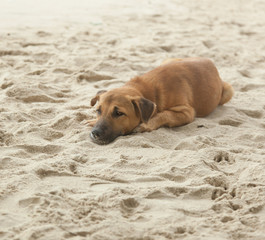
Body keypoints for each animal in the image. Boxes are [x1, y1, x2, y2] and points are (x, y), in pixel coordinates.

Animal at [87, 57, 233, 144]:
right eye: (98, 111)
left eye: (119, 113)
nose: (95, 133)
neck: (147, 91)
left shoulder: (187, 112)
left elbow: (164, 114)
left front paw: (146, 125)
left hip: (229, 91)